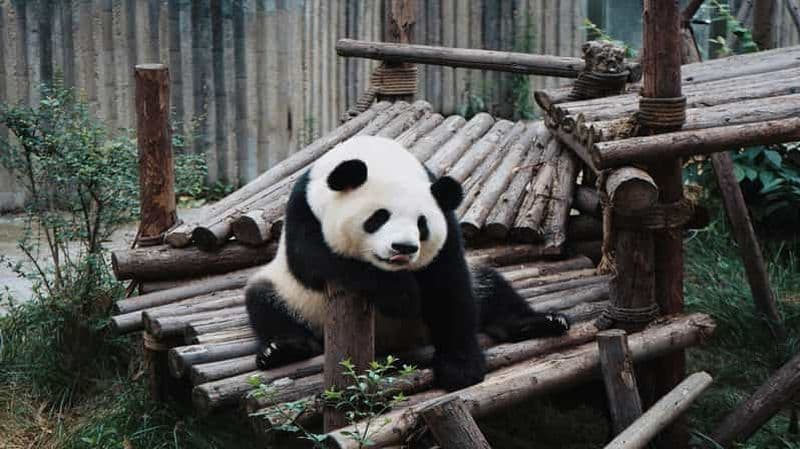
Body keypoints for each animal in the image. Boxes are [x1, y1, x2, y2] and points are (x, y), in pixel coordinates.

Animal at [245, 135, 570, 391]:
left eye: (422, 224)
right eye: (378, 217)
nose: (403, 247)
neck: (377, 156)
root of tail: (393, 342)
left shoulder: (446, 221)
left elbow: (449, 285)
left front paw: (461, 367)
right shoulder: (304, 209)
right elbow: (319, 261)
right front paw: (400, 295)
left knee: (492, 289)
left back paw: (541, 322)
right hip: (293, 297)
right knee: (264, 301)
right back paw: (281, 349)